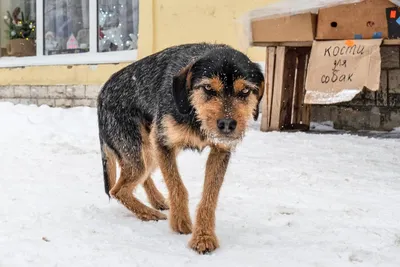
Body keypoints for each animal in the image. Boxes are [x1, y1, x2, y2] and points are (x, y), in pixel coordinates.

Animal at [96, 43, 266, 254]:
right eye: (208, 88)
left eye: (245, 91)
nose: (227, 124)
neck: (195, 114)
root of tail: (102, 93)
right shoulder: (163, 143)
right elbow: (176, 185)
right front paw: (180, 221)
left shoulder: (220, 151)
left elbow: (209, 197)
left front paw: (204, 236)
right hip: (139, 149)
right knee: (118, 190)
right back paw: (148, 213)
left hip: (148, 152)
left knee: (136, 179)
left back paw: (156, 201)